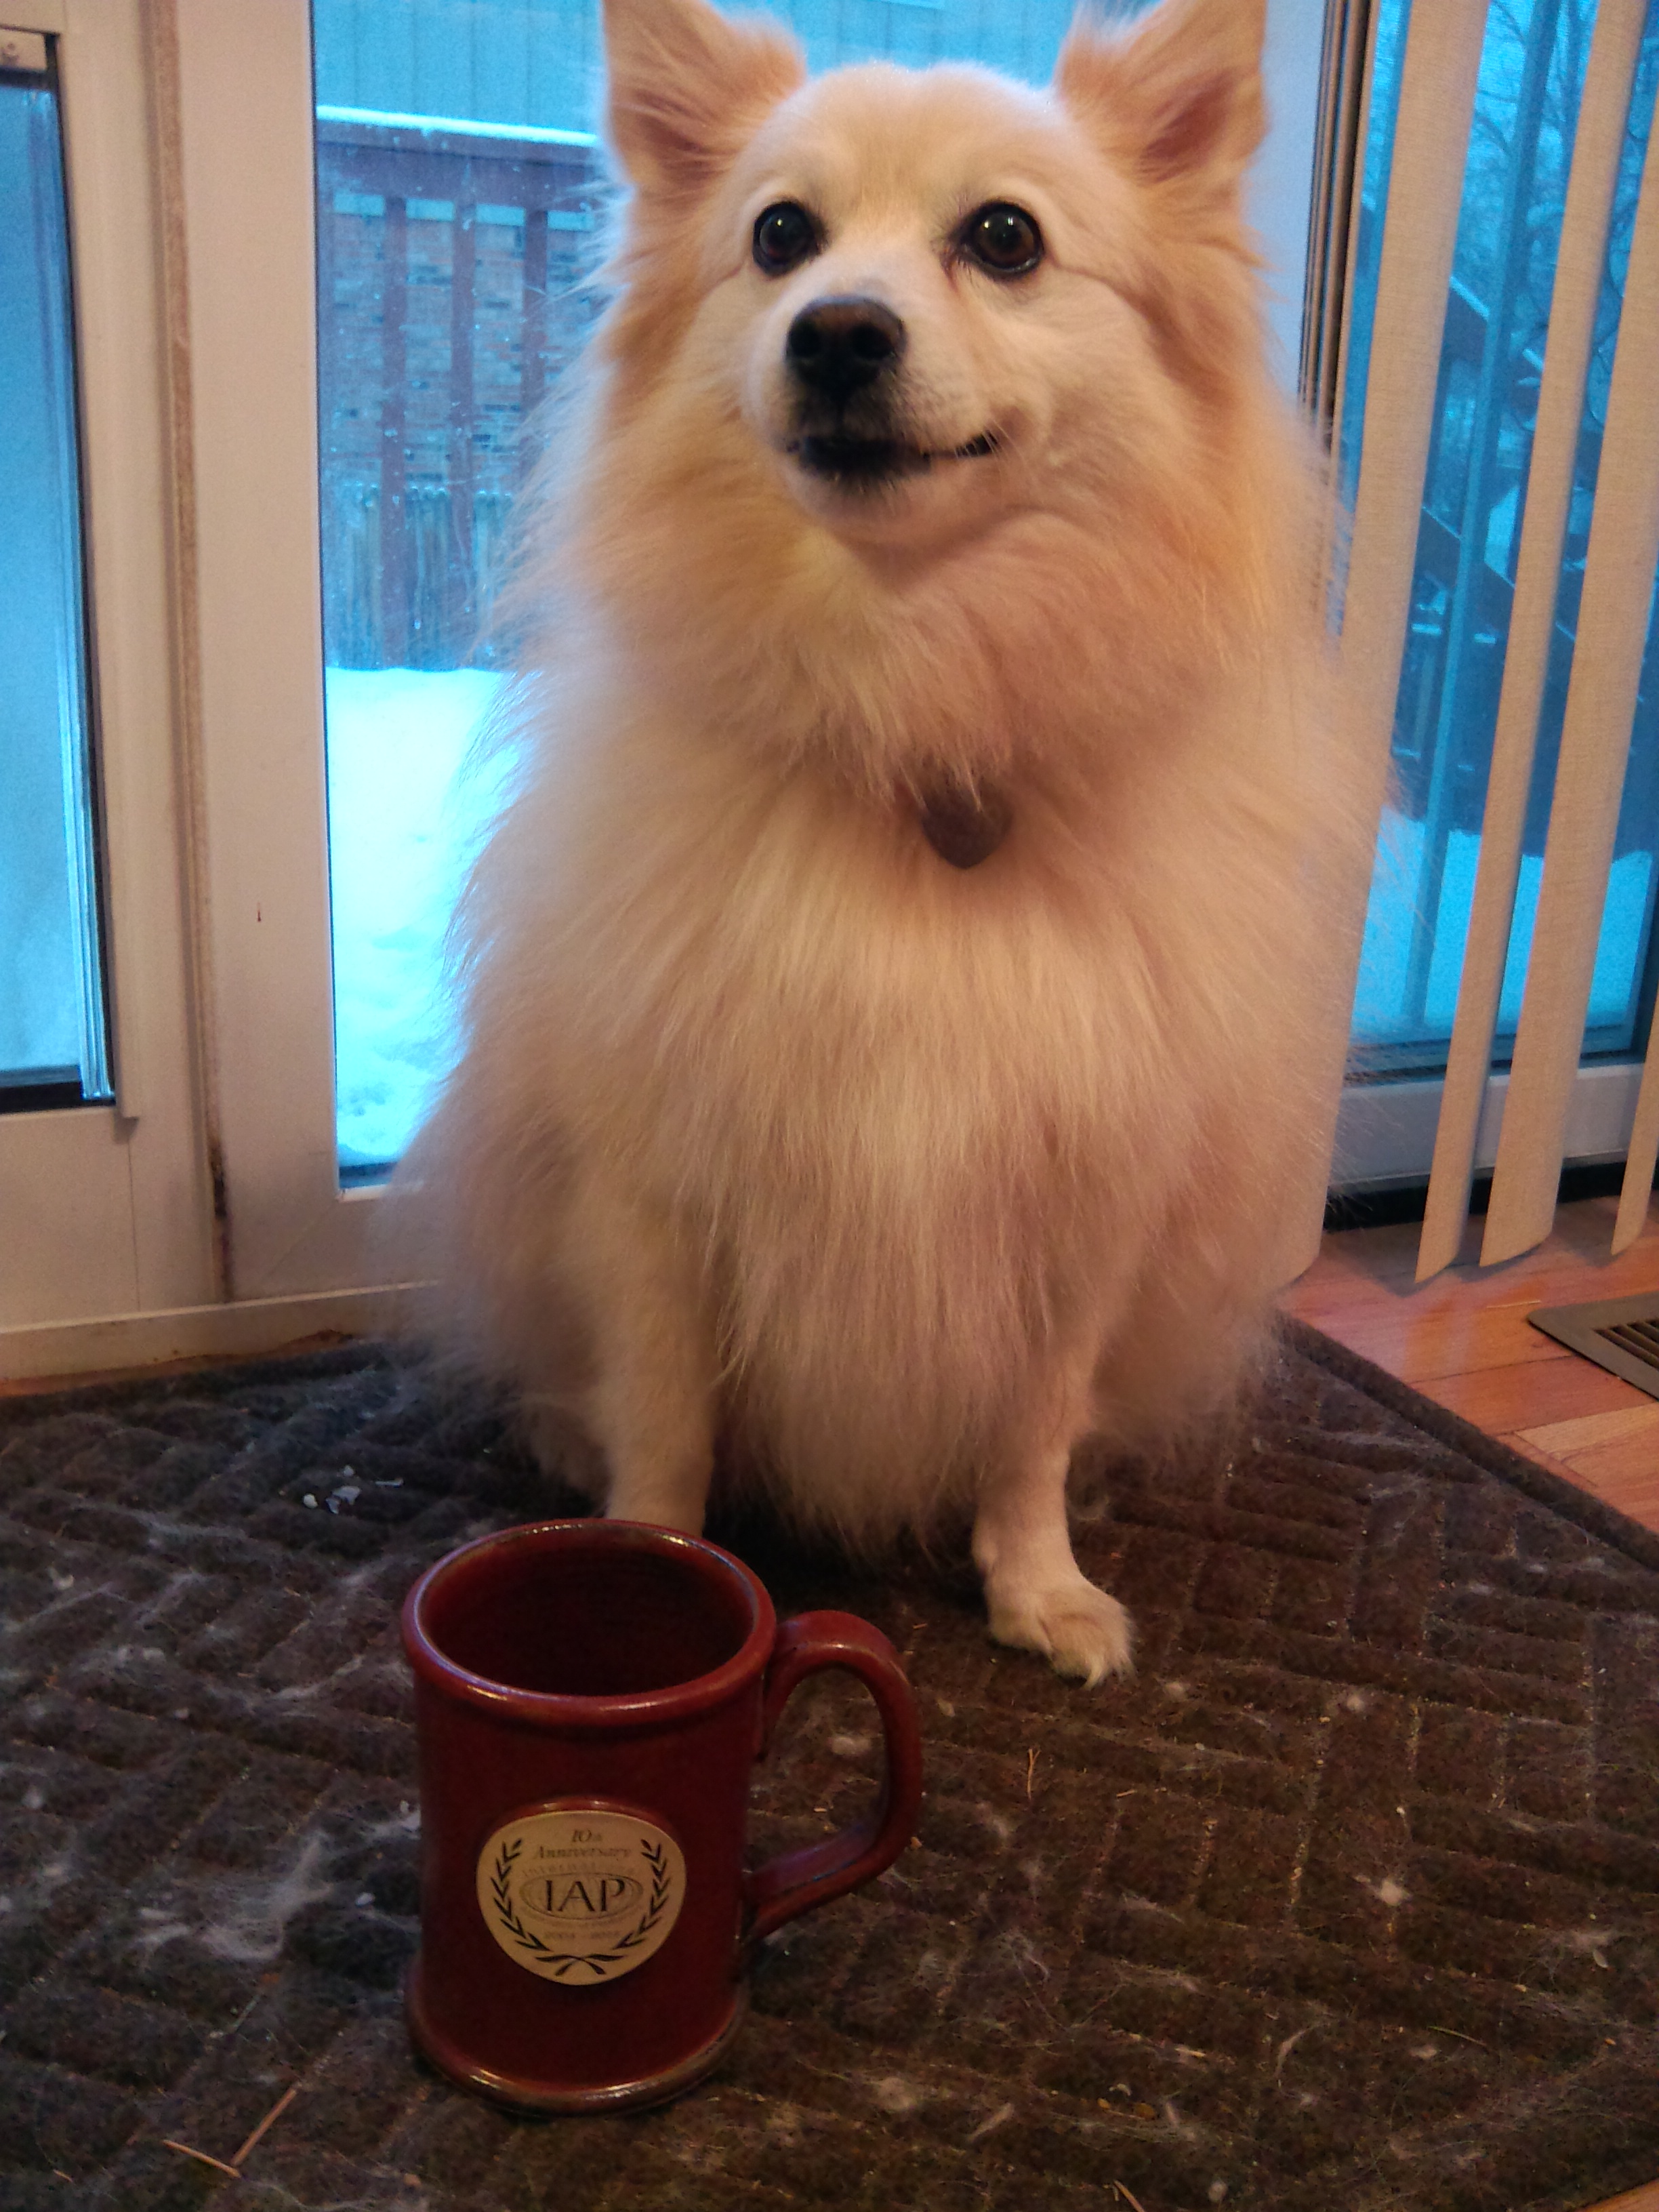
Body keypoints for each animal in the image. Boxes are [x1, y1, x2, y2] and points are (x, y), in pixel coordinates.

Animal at [403, 0, 1362, 1672]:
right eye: (781, 236)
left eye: (1004, 238)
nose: (839, 331)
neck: (907, 703)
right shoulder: (655, 1196)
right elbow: (666, 1422)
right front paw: (646, 1560)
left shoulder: (1079, 1199)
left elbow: (1030, 1426)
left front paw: (1036, 1586)